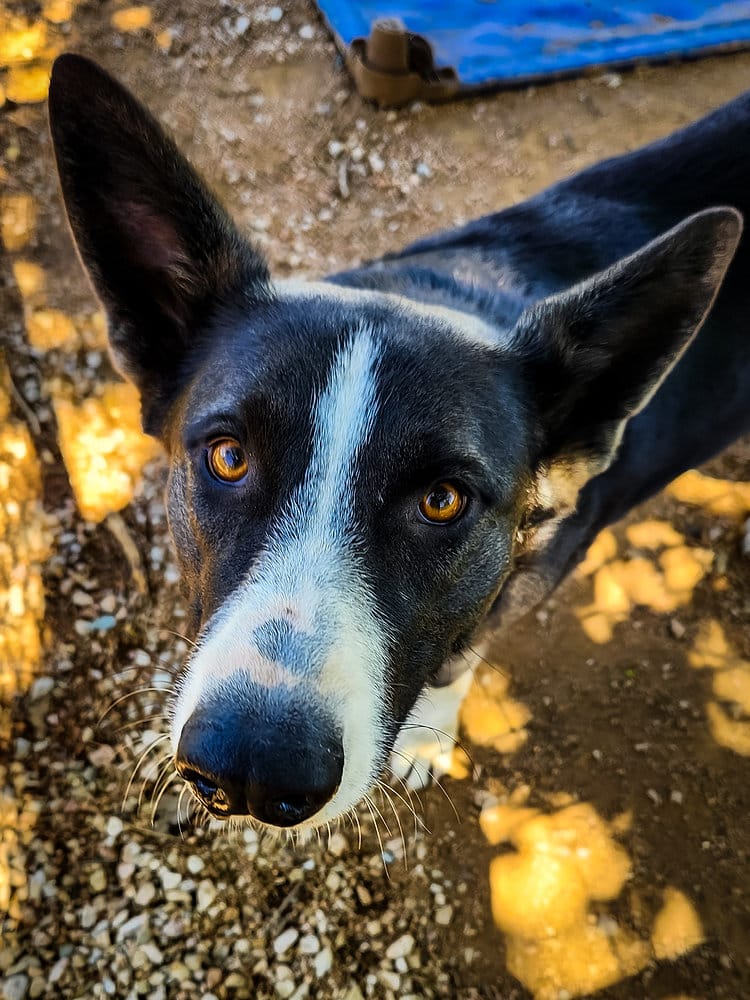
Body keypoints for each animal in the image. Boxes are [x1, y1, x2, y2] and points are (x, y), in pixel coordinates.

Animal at [49, 53, 750, 831]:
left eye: (443, 500)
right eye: (229, 457)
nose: (251, 771)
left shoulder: (531, 578)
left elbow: (459, 657)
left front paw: (425, 737)